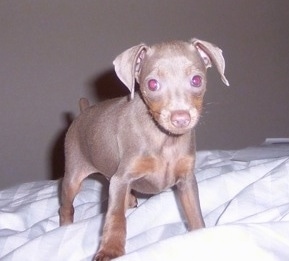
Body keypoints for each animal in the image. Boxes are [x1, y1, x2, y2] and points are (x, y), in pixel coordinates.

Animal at [59, 37, 228, 258]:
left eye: (196, 80)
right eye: (152, 84)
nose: (181, 118)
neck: (164, 140)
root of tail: (83, 111)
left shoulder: (186, 180)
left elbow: (194, 213)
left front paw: (200, 233)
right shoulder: (123, 176)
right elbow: (115, 217)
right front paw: (111, 249)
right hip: (74, 174)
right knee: (67, 205)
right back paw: (65, 226)